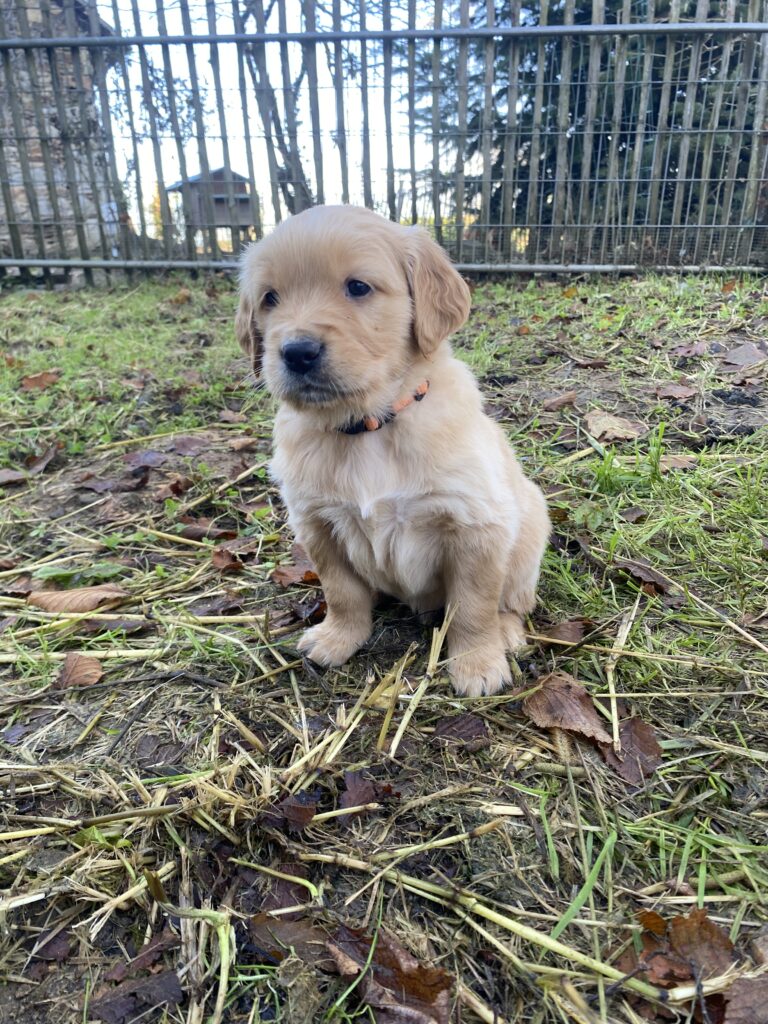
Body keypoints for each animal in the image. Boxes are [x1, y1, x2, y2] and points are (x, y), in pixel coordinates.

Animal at [236, 205, 550, 696]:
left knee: (511, 601)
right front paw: (337, 638)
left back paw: (507, 633)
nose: (297, 351)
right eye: (270, 298)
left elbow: (473, 604)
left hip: (530, 529)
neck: (369, 426)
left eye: (358, 287)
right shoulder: (317, 524)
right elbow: (341, 591)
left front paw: (477, 663)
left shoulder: (477, 525)